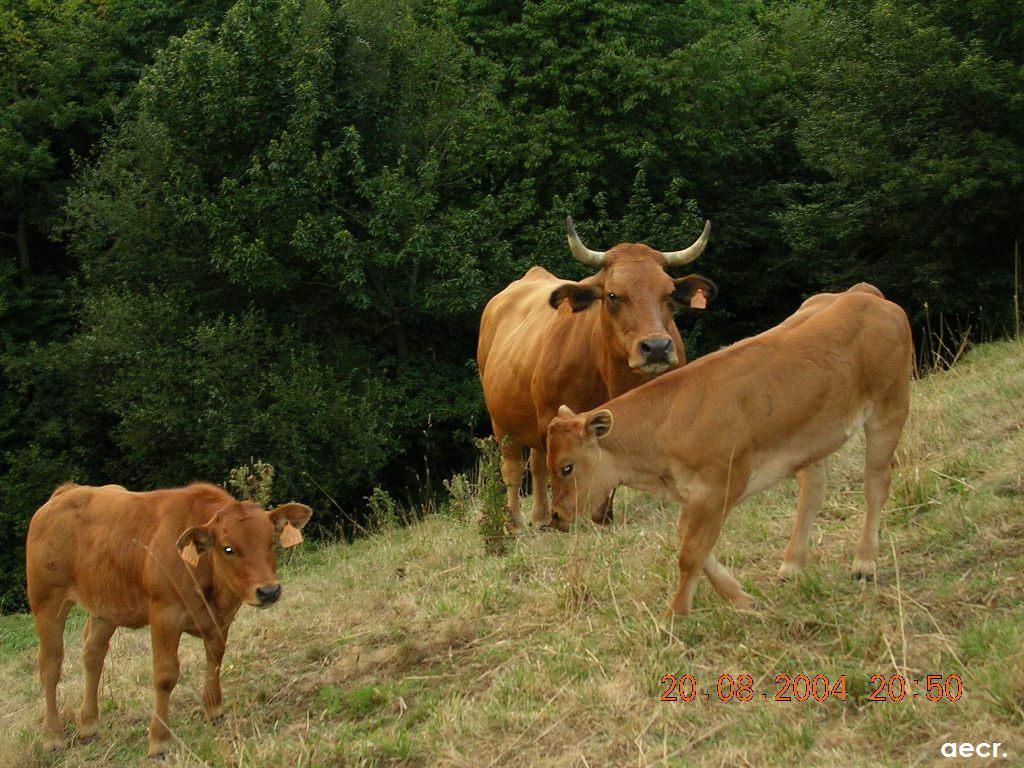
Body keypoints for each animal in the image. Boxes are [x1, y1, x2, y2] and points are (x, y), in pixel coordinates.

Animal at [24, 483, 311, 753]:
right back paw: (53, 737)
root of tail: (67, 492)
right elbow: (165, 676)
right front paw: (159, 741)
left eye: (271, 542)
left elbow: (215, 659)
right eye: (228, 548)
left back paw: (89, 726)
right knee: (50, 666)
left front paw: (213, 711)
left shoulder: (221, 619)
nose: (269, 591)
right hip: (47, 603)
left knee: (93, 654)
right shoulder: (165, 615)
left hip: (105, 607)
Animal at [477, 214, 712, 532]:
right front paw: (566, 521)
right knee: (512, 470)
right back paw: (515, 524)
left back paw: (540, 517)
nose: (657, 347)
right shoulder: (552, 421)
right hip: (501, 422)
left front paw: (602, 517)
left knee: (536, 465)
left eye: (670, 294)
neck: (612, 380)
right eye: (612, 294)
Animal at [544, 286, 913, 618]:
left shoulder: (718, 488)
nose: (557, 516)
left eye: (566, 467)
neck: (668, 424)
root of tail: (864, 295)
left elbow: (690, 552)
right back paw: (791, 565)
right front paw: (740, 597)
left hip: (889, 409)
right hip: (813, 436)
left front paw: (673, 616)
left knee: (876, 483)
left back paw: (864, 561)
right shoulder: (693, 494)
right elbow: (688, 541)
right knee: (812, 492)